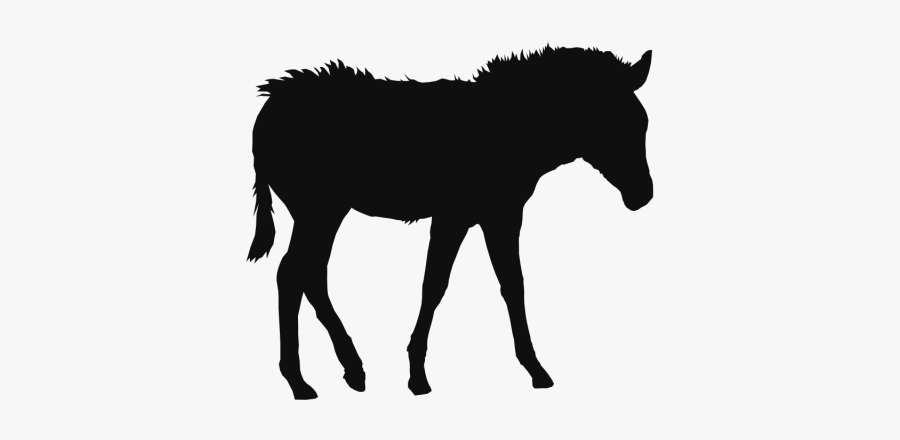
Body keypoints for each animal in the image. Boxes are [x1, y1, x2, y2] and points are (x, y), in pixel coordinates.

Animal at [248, 45, 654, 399]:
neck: (510, 129)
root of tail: (269, 105)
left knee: (309, 274)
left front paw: (535, 369)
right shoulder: (455, 216)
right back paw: (299, 381)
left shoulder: (499, 216)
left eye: (643, 124)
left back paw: (352, 368)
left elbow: (511, 284)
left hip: (326, 211)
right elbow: (435, 286)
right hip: (317, 209)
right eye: (612, 122)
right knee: (293, 273)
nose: (643, 194)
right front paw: (417, 375)